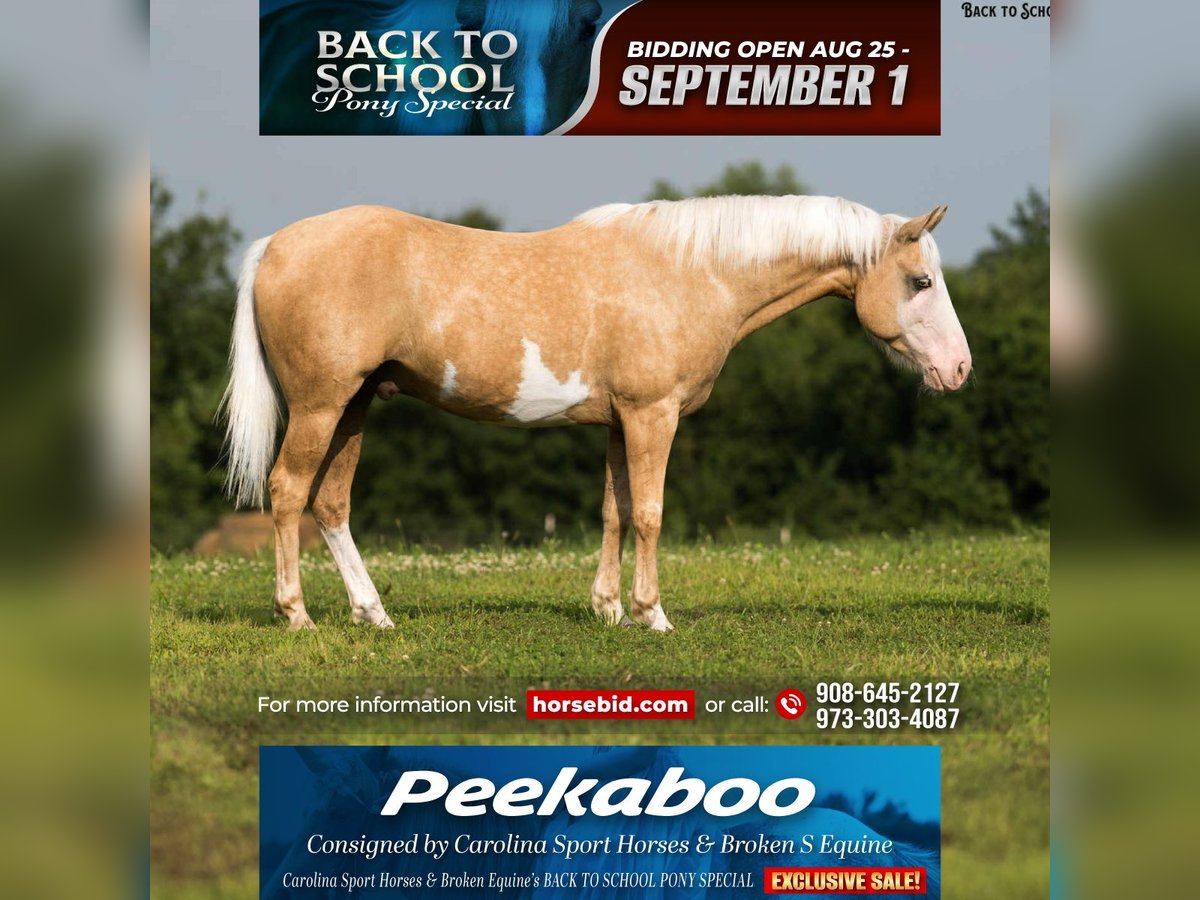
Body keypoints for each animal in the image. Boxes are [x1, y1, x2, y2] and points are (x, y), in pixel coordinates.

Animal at [220, 194, 971, 632]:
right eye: (920, 281)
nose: (960, 369)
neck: (692, 271)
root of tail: (273, 245)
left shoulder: (618, 421)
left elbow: (614, 510)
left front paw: (609, 611)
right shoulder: (653, 415)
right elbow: (650, 514)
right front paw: (653, 615)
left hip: (353, 407)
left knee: (330, 504)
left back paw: (373, 615)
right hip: (321, 405)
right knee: (289, 492)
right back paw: (297, 615)